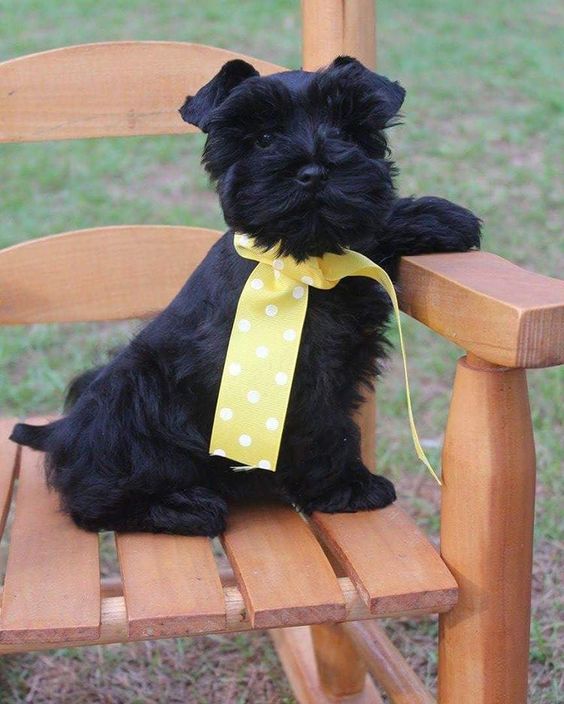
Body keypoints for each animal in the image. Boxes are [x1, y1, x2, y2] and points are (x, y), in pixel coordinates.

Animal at [9, 57, 480, 536]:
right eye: (264, 138)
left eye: (347, 131)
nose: (314, 171)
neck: (297, 265)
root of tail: (61, 431)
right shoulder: (307, 377)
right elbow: (328, 428)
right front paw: (348, 486)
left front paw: (434, 218)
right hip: (132, 395)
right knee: (93, 495)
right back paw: (181, 506)